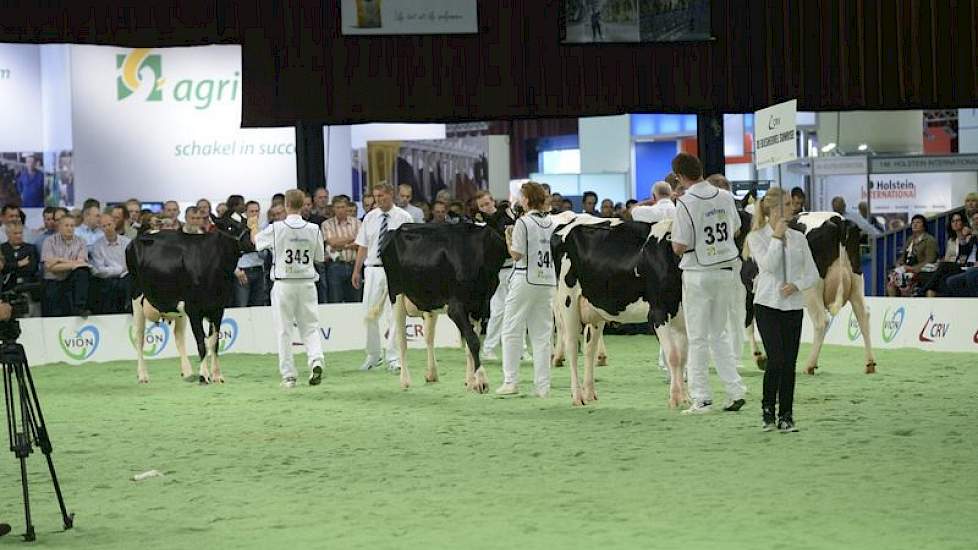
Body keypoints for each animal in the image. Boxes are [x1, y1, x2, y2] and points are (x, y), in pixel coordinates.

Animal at [125, 216, 252, 384]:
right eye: (230, 227)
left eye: (245, 223)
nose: (251, 242)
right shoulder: (194, 309)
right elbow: (201, 342)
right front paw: (204, 375)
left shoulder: (218, 308)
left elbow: (214, 342)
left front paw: (217, 376)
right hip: (137, 297)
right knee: (139, 337)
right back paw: (143, 375)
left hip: (179, 310)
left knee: (179, 336)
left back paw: (187, 372)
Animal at [376, 223, 508, 392]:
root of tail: (398, 229)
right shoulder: (456, 307)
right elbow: (473, 341)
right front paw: (481, 380)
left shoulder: (481, 306)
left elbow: (470, 343)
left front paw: (471, 381)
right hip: (396, 294)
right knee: (402, 340)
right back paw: (404, 381)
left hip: (429, 303)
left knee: (428, 336)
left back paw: (431, 374)